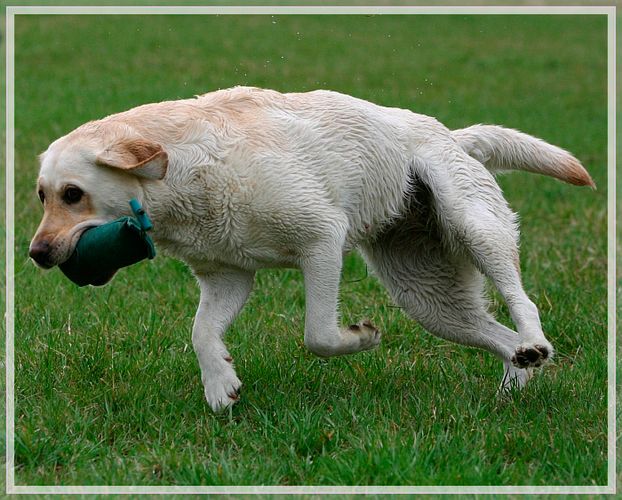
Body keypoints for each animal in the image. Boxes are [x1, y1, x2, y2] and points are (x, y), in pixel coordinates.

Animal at [29, 88, 596, 412]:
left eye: (73, 194)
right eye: (41, 195)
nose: (36, 253)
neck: (183, 173)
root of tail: (453, 134)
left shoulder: (322, 240)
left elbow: (318, 335)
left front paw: (362, 338)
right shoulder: (228, 277)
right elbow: (200, 333)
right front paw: (220, 384)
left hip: (474, 226)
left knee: (523, 302)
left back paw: (534, 344)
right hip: (427, 297)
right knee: (495, 335)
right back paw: (516, 380)